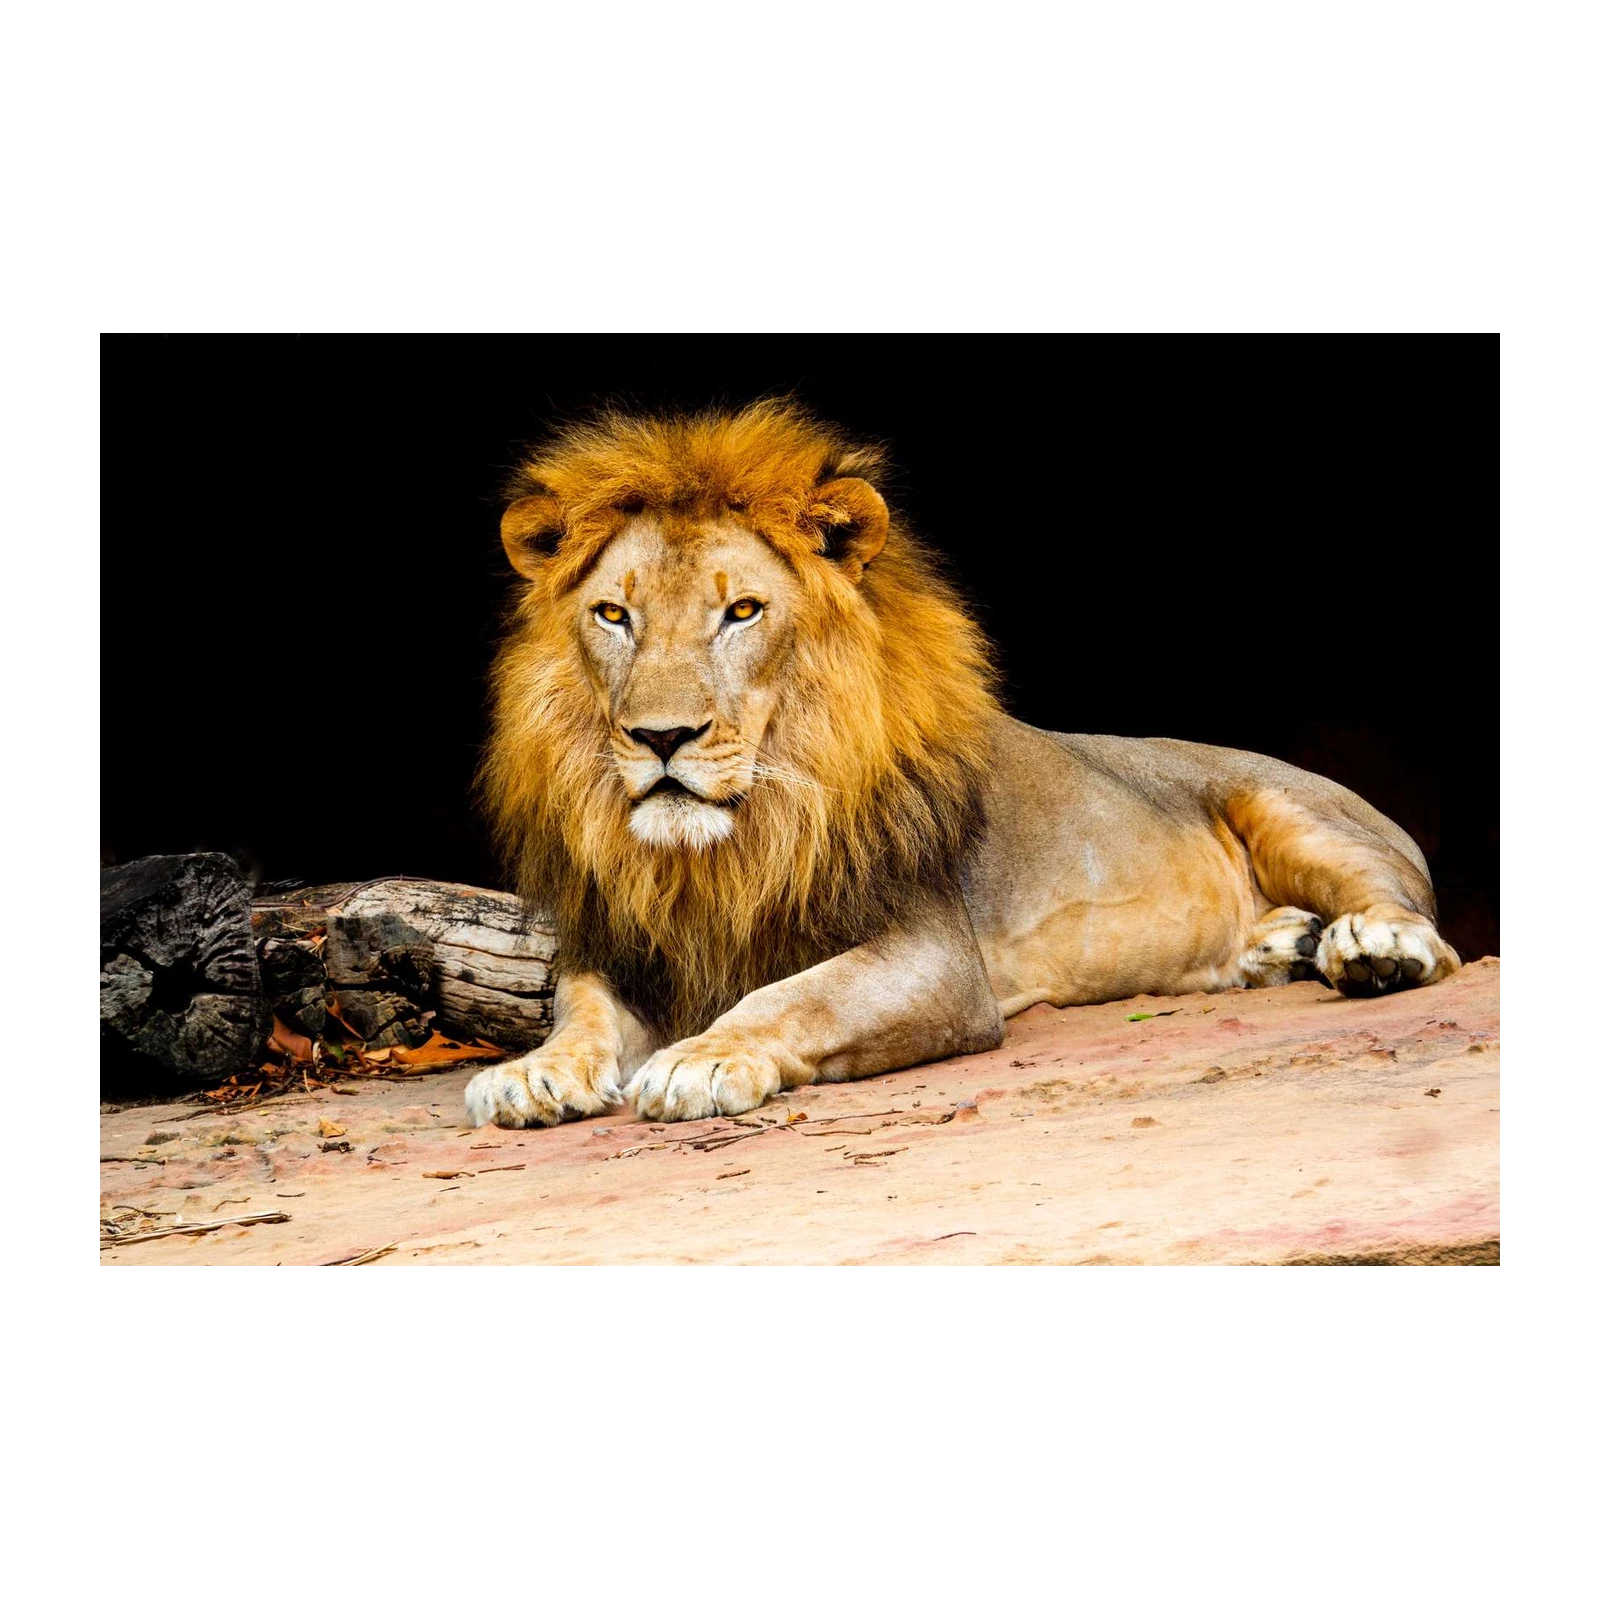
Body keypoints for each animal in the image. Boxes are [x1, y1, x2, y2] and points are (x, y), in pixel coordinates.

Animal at [466, 401, 1460, 1129]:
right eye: (613, 615)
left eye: (742, 611)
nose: (661, 737)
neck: (727, 850)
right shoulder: (619, 945)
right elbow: (580, 1009)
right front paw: (535, 1073)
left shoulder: (935, 957)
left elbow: (796, 996)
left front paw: (703, 1058)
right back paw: (1274, 946)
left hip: (1294, 811)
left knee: (1415, 915)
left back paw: (1369, 949)